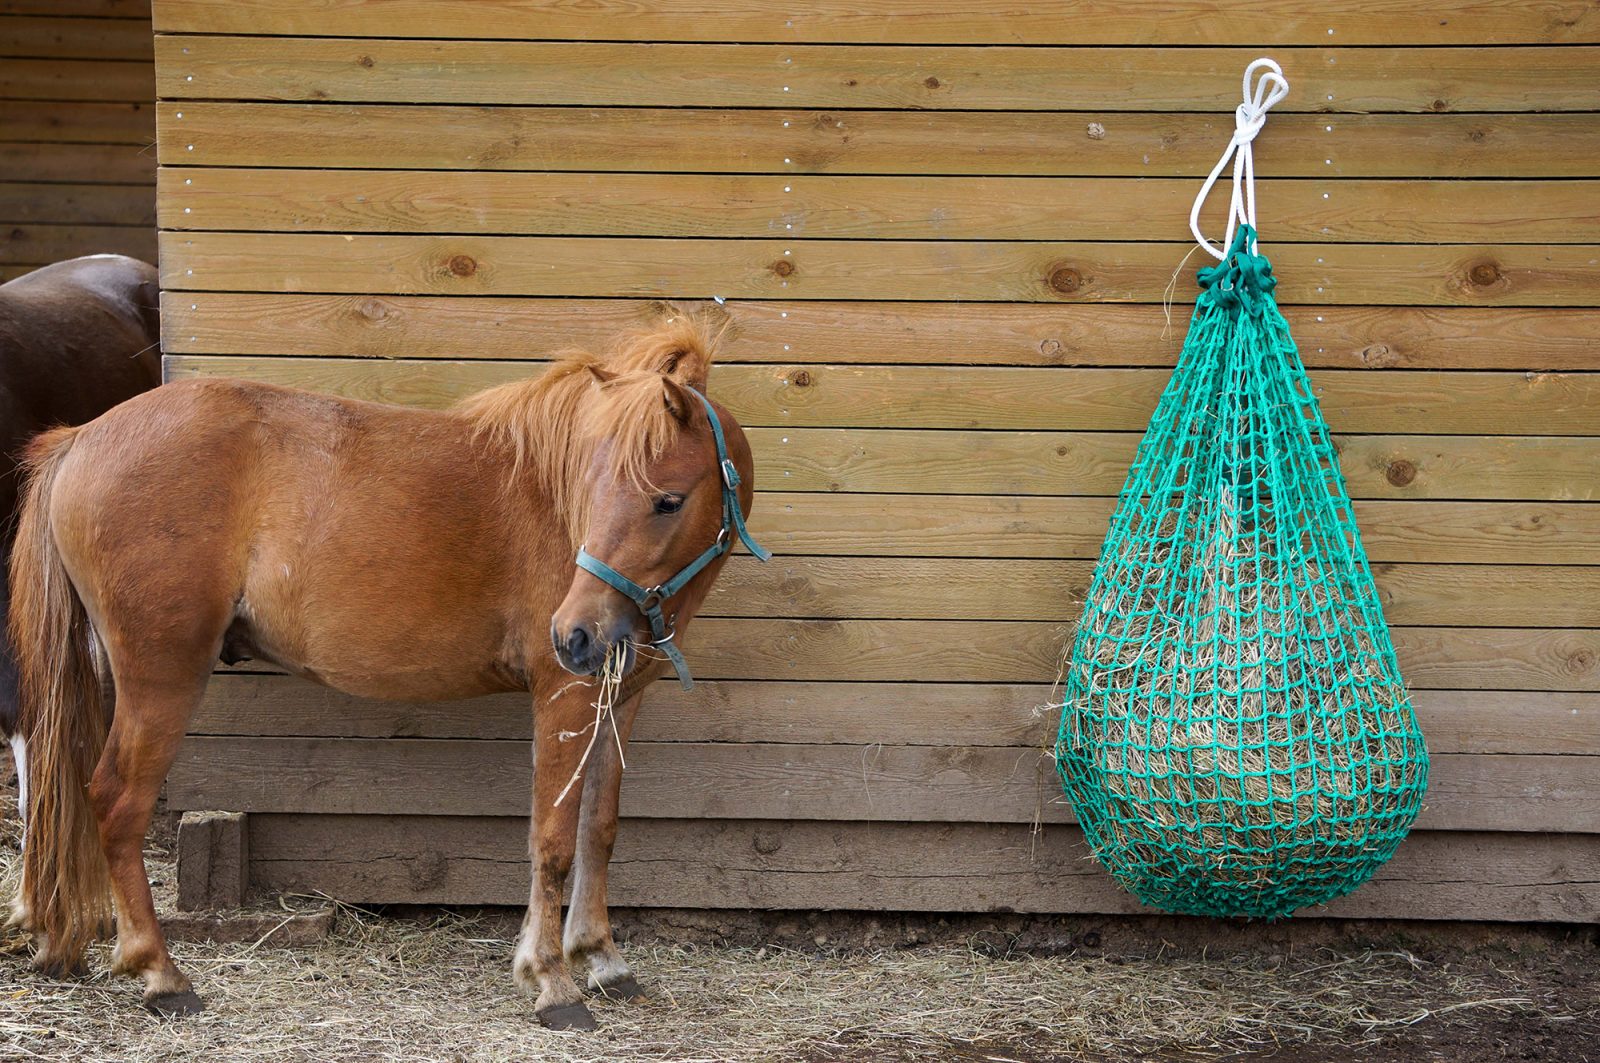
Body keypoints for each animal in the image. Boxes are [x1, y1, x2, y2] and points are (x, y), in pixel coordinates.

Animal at [9, 316, 755, 1030]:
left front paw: (601, 956)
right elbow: (551, 841)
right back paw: (161, 973)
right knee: (116, 802)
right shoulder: (564, 697)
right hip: (158, 681)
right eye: (592, 490)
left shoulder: (617, 700)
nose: (575, 633)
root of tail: (81, 439)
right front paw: (551, 980)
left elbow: (597, 828)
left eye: (666, 500)